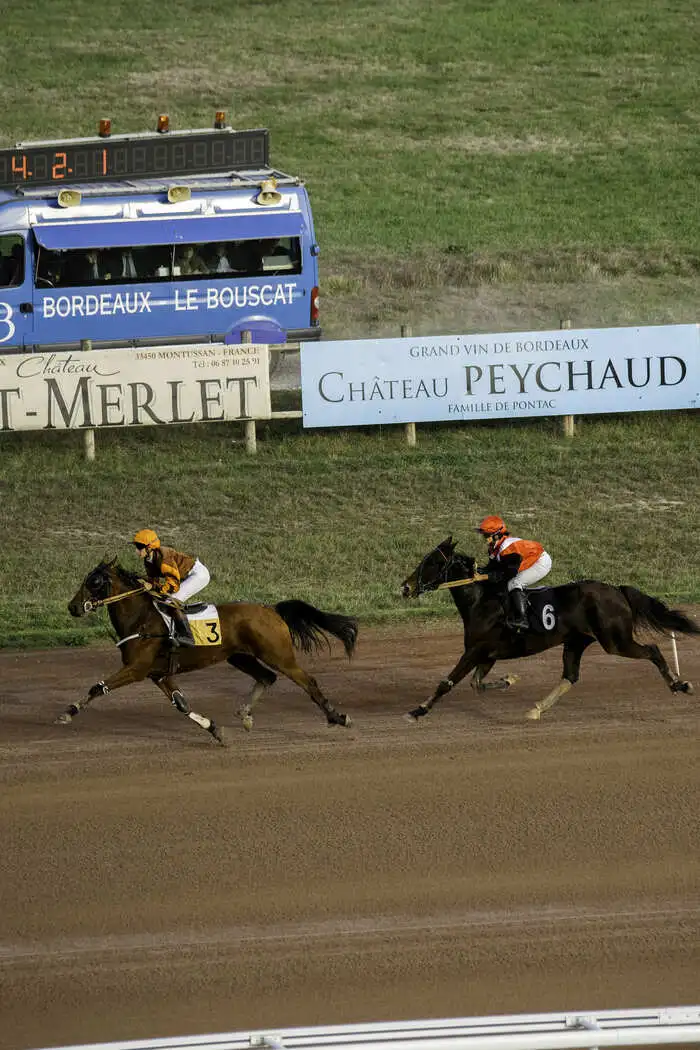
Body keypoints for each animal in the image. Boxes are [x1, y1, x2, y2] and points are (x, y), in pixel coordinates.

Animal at [60, 562, 358, 743]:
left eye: (94, 582)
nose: (73, 607)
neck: (141, 620)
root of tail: (271, 609)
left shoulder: (136, 669)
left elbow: (98, 687)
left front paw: (69, 712)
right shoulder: (158, 674)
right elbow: (182, 705)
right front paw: (215, 730)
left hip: (279, 654)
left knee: (307, 681)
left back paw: (337, 717)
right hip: (240, 656)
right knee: (266, 677)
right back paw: (245, 715)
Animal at [402, 541, 696, 722]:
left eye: (431, 562)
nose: (405, 587)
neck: (481, 601)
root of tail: (617, 589)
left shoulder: (475, 651)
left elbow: (447, 682)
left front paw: (418, 710)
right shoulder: (488, 655)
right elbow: (477, 684)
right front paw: (509, 680)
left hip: (615, 641)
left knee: (653, 650)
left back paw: (680, 684)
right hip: (577, 641)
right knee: (570, 676)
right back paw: (537, 708)